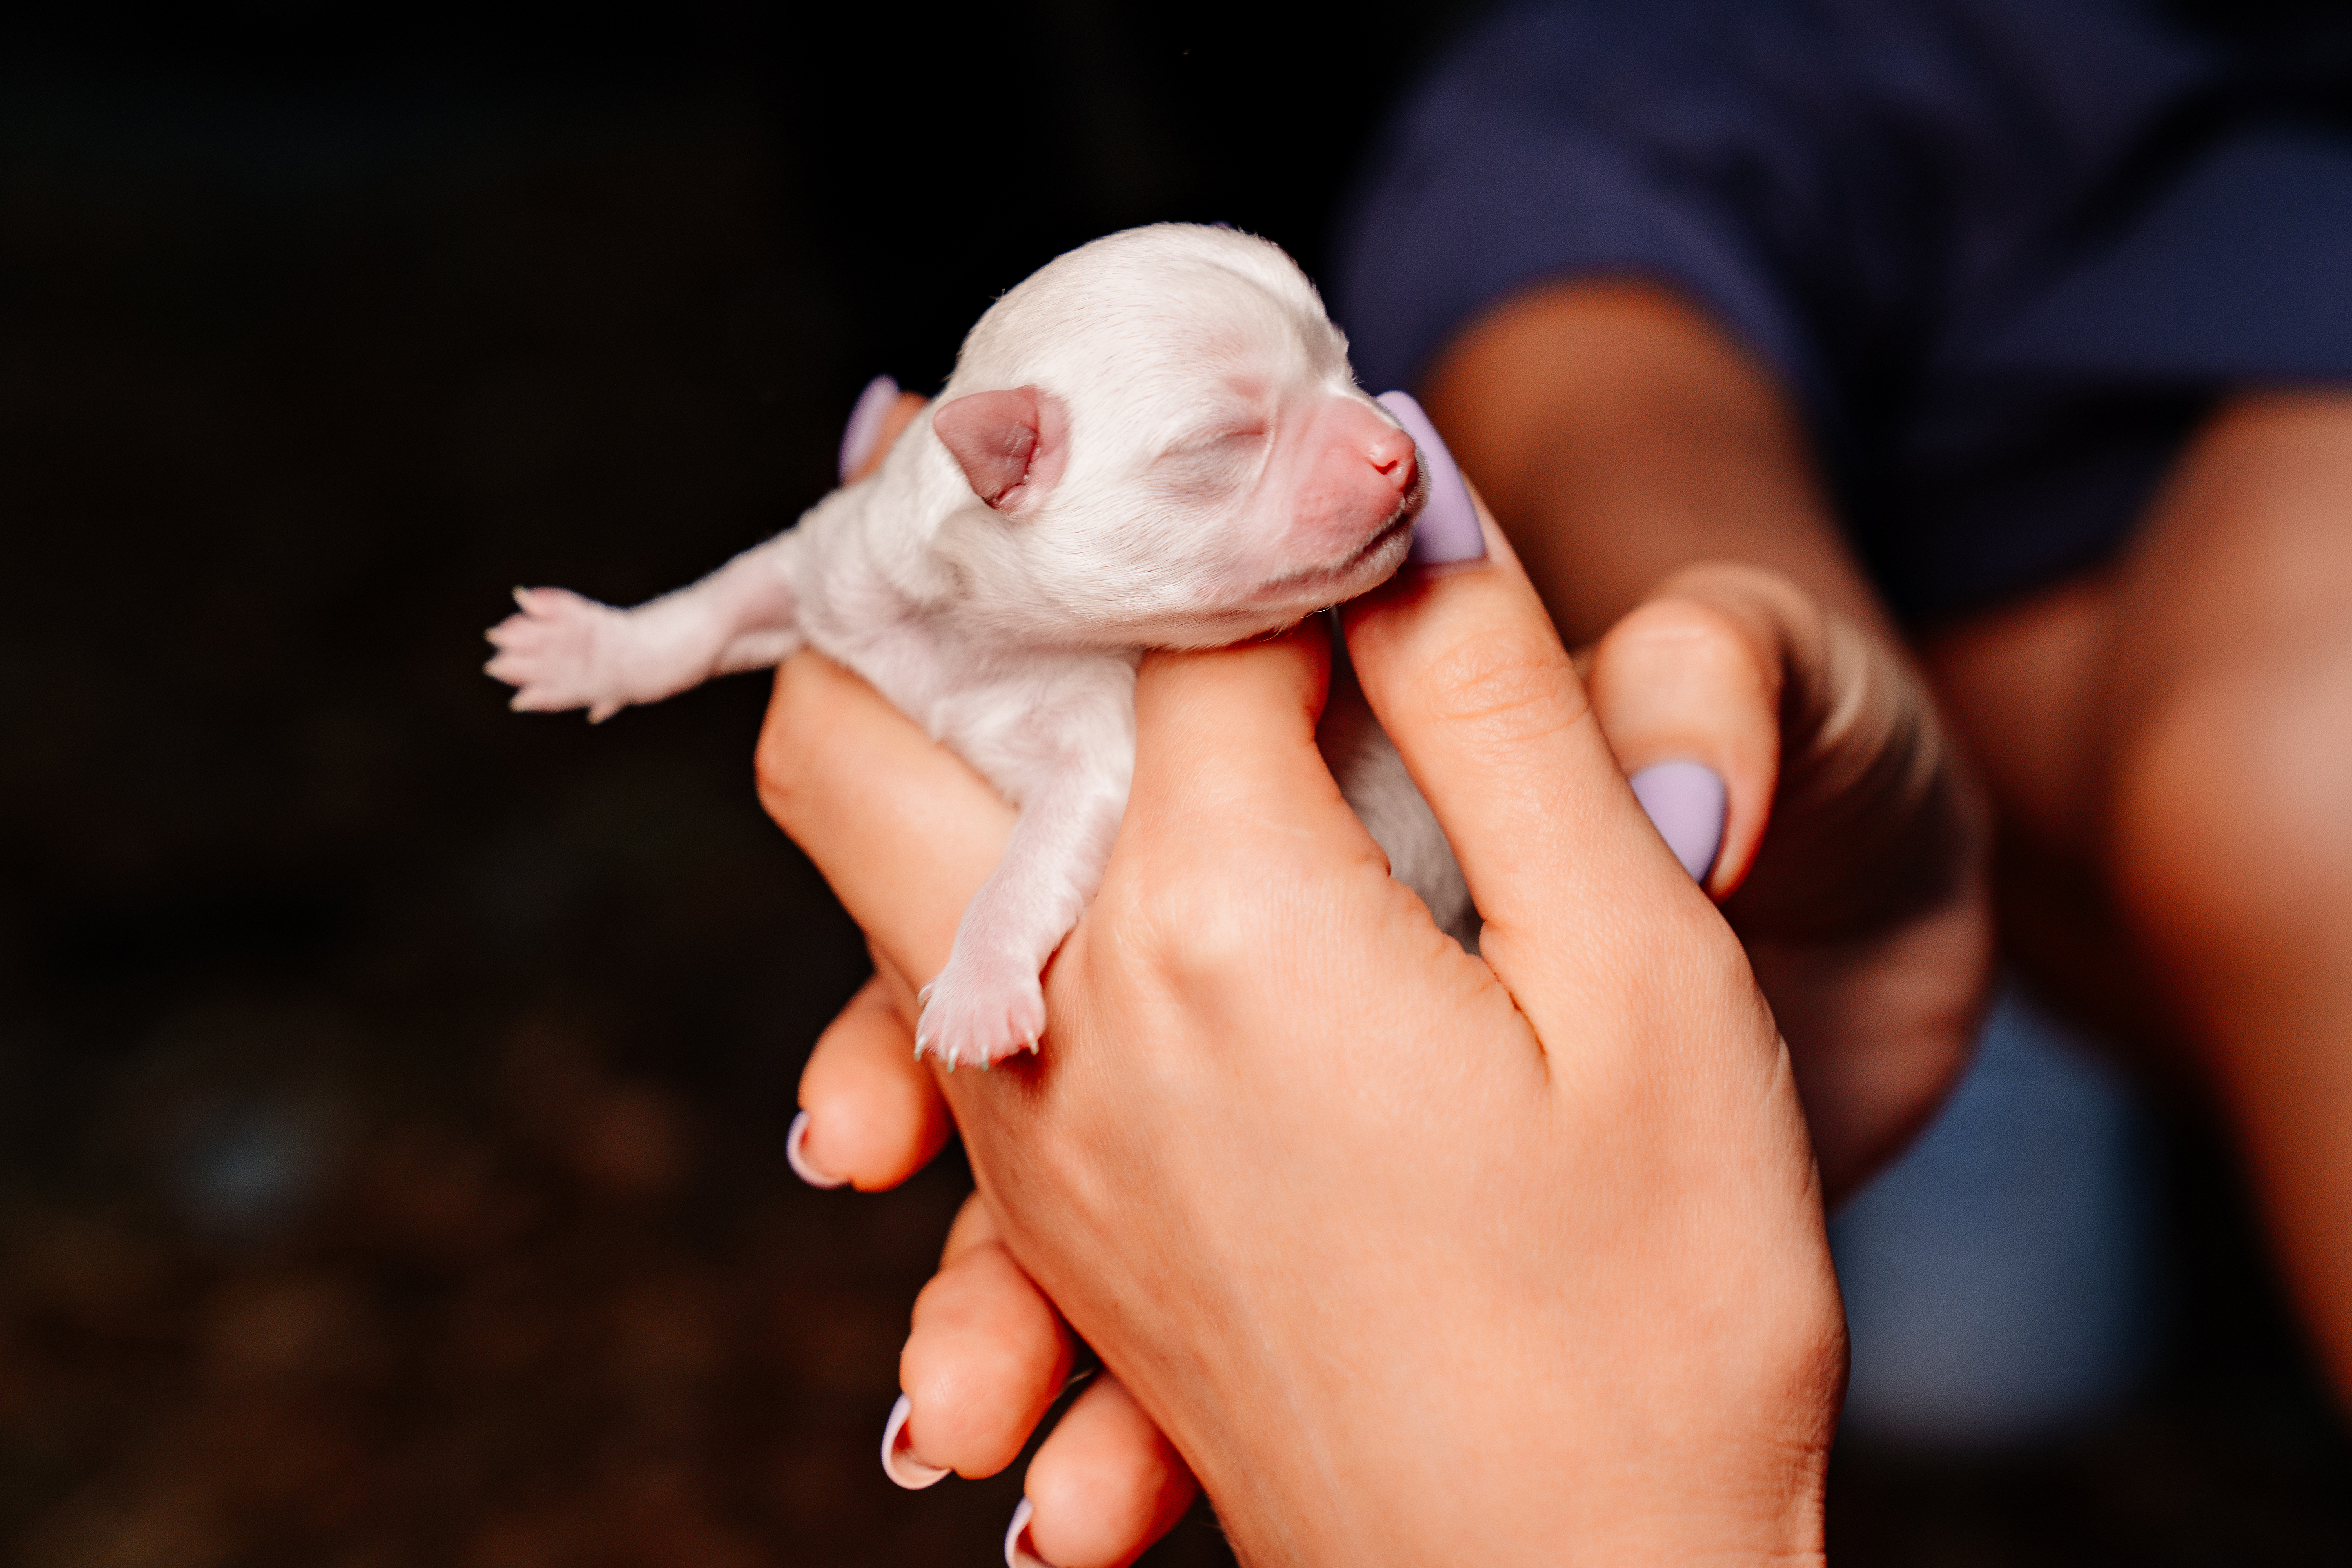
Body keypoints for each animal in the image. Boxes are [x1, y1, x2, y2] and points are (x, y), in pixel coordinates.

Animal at [480, 223, 1468, 1067]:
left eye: (1348, 366)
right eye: (1227, 439)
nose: (1400, 449)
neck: (986, 640)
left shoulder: (1098, 749)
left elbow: (1032, 861)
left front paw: (978, 987)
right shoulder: (834, 561)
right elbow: (717, 606)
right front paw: (595, 649)